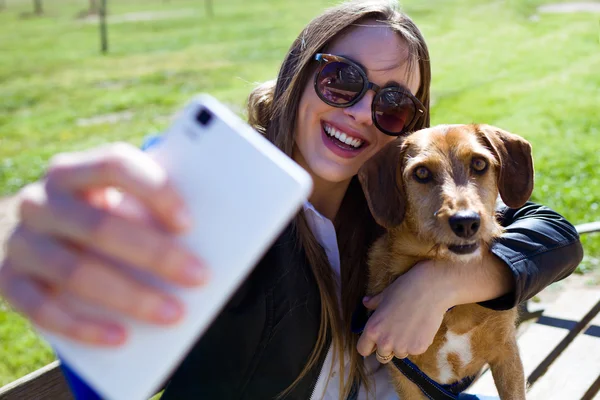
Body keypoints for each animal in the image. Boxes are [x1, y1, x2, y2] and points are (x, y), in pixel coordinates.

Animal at [356, 125, 528, 400]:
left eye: (479, 163)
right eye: (422, 173)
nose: (466, 222)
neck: (451, 306)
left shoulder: (506, 354)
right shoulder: (405, 377)